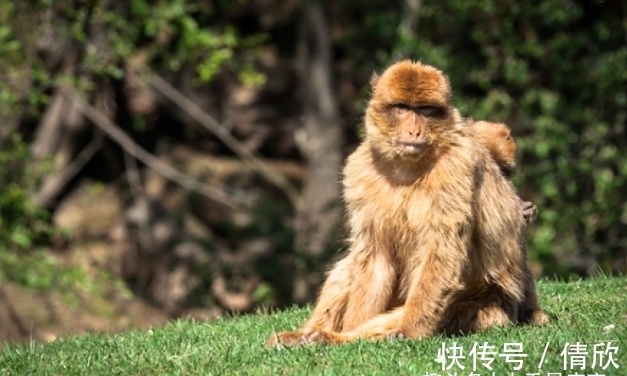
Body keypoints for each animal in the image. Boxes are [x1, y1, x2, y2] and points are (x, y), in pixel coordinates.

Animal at [268, 59, 548, 346]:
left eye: (424, 110)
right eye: (403, 108)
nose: (414, 130)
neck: (407, 166)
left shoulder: (456, 165)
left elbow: (442, 252)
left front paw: (405, 332)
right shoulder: (360, 168)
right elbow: (376, 256)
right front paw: (347, 329)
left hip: (489, 305)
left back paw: (336, 338)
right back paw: (308, 335)